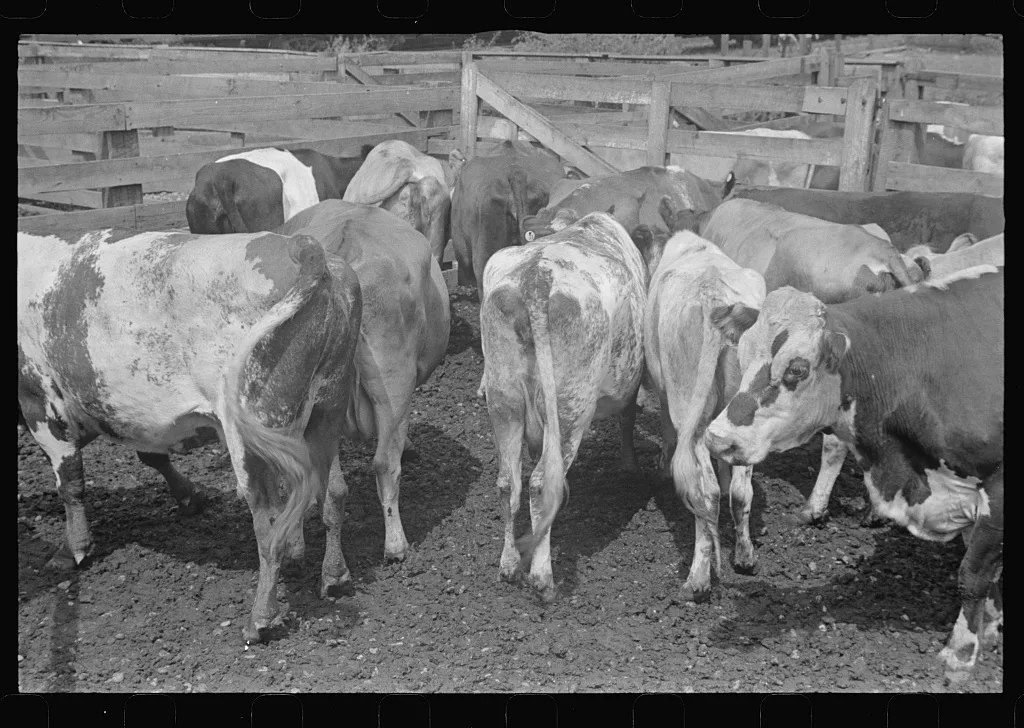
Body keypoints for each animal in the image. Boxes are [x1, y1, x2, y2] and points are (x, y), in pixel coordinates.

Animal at [17, 229, 363, 644]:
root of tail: (306, 249)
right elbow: (150, 454)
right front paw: (189, 497)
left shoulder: (37, 400)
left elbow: (69, 482)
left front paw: (71, 550)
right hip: (328, 409)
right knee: (333, 492)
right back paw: (335, 576)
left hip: (252, 433)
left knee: (268, 519)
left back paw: (261, 618)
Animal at [479, 212, 647, 602]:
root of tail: (536, 279)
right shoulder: (631, 382)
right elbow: (628, 418)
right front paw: (630, 466)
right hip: (571, 407)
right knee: (541, 483)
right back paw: (542, 577)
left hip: (504, 399)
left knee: (508, 483)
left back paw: (509, 566)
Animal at [632, 223, 766, 601]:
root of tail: (714, 295)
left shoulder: (664, 395)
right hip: (742, 406)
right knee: (739, 491)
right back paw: (744, 556)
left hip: (685, 400)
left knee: (706, 491)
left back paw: (698, 579)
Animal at [704, 267, 1004, 670]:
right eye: (744, 352)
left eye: (797, 368)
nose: (718, 438)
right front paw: (990, 626)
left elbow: (972, 574)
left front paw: (961, 651)